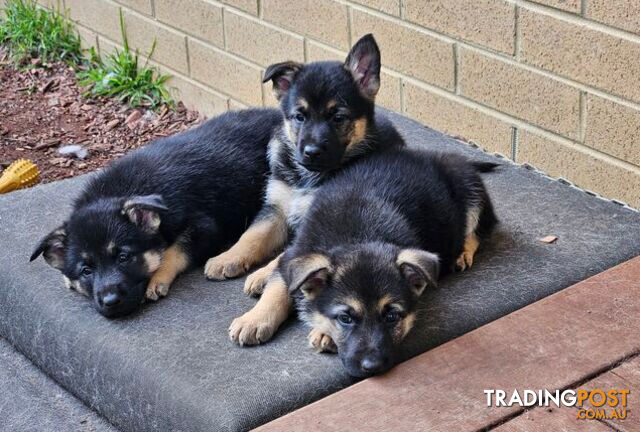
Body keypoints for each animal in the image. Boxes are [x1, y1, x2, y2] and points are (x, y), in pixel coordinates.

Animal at [30, 108, 280, 318]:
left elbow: (174, 250)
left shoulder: (204, 226)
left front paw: (157, 278)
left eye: (123, 257)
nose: (111, 302)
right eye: (86, 271)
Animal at [204, 33, 404, 344]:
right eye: (299, 116)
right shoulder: (275, 207)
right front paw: (228, 257)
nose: (310, 152)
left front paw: (256, 318)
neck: (309, 178)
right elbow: (252, 236)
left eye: (338, 117)